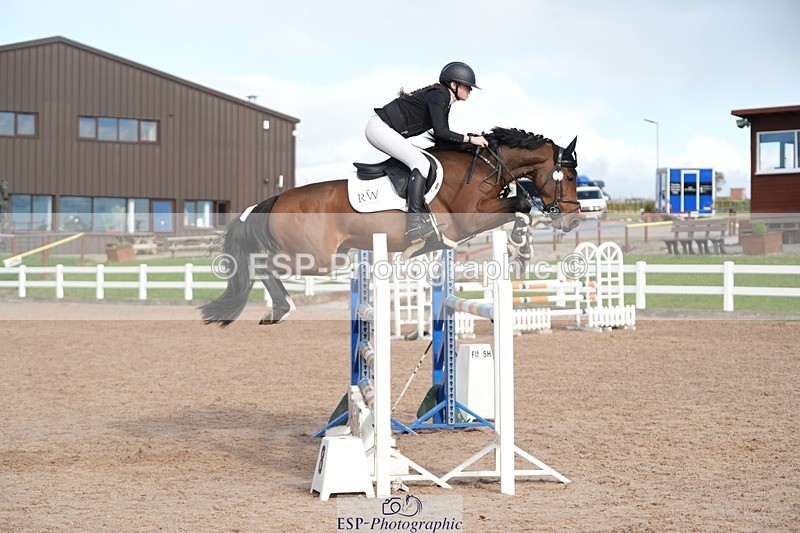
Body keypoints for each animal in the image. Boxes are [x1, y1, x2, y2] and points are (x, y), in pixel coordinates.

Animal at [201, 127, 581, 327]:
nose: (574, 219)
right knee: (263, 264)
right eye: (569, 176)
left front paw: (523, 248)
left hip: (328, 256)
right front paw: (521, 245)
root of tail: (276, 198)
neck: (484, 165)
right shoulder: (468, 220)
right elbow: (521, 206)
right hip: (315, 258)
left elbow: (519, 208)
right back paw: (280, 309)